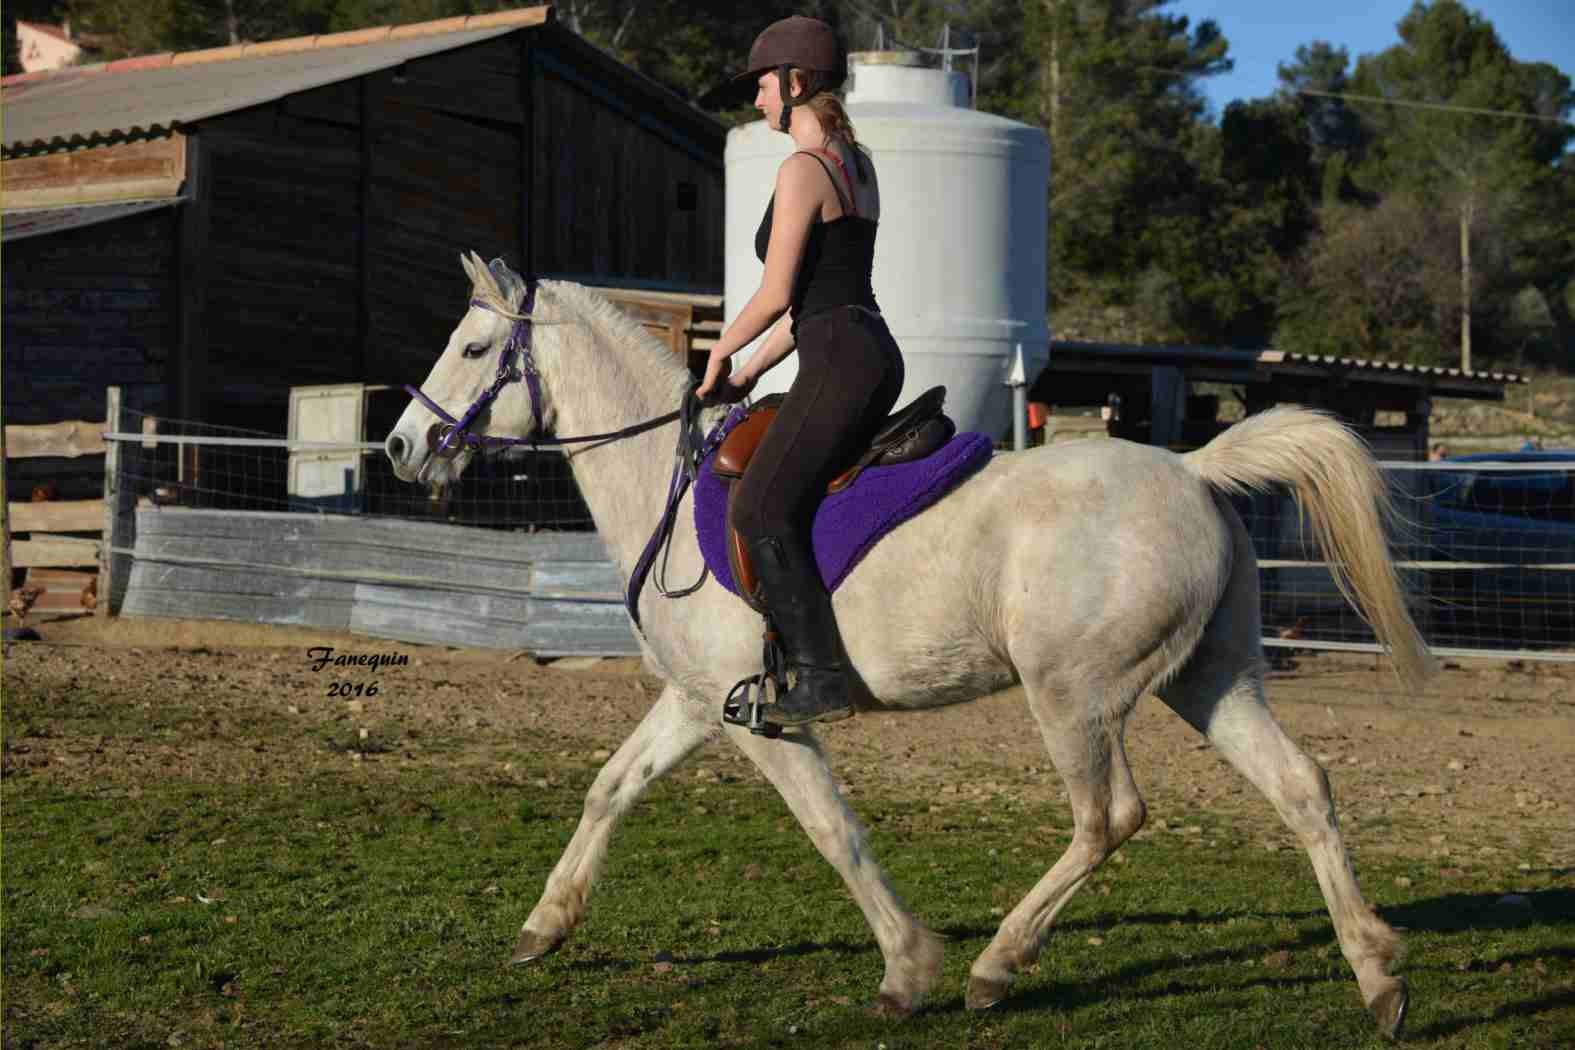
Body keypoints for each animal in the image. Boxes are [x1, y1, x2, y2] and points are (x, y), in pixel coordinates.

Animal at [387, 251, 1436, 1032]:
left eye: (473, 345)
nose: (400, 447)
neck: (667, 484)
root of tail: (1194, 471)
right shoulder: (694, 701)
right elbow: (610, 788)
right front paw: (544, 925)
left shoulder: (762, 719)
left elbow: (833, 830)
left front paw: (905, 968)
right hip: (1210, 681)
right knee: (1301, 788)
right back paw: (1377, 974)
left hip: (1073, 696)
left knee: (1108, 817)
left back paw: (997, 966)